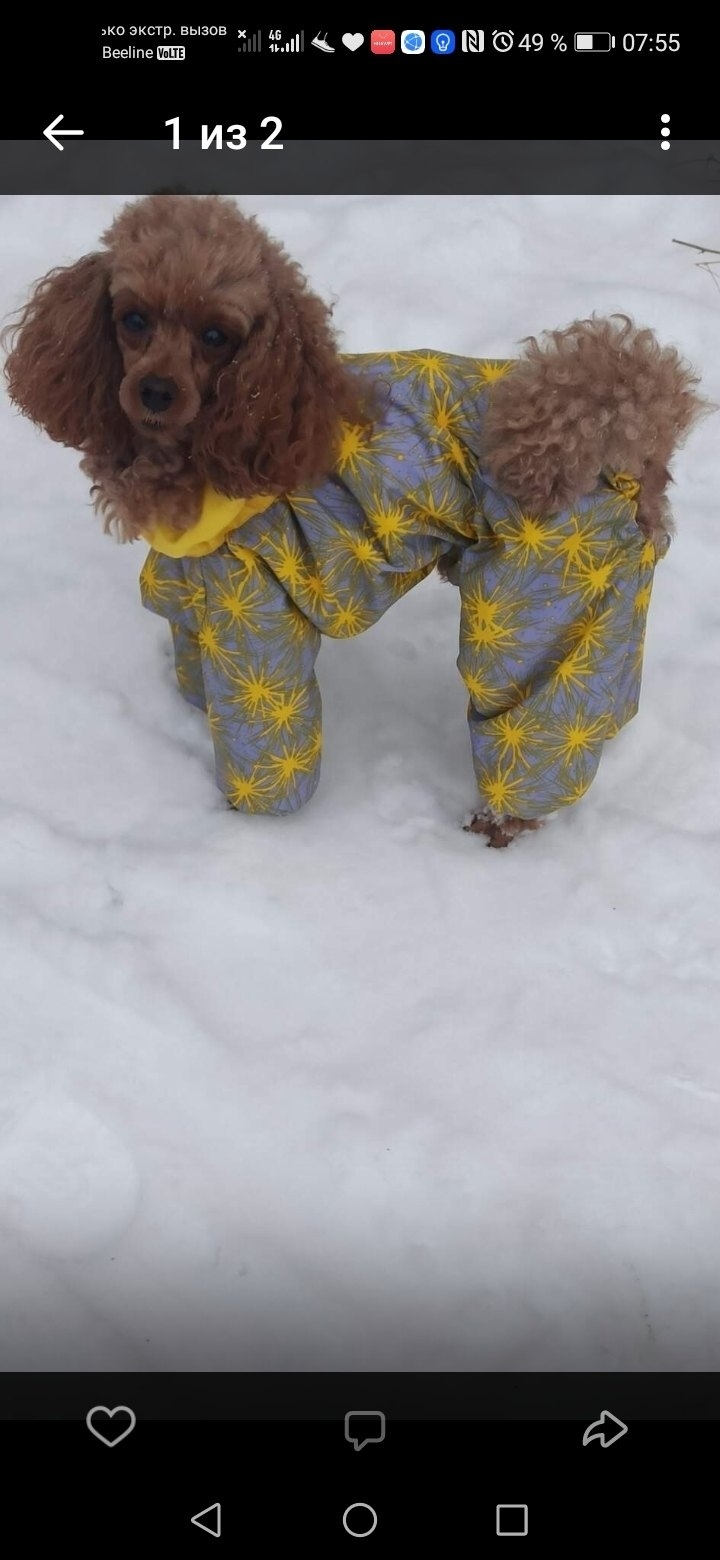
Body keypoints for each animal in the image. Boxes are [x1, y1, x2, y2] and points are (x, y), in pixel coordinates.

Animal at [3, 195, 705, 844]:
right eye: (133, 319)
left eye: (216, 336)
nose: (154, 392)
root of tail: (624, 446)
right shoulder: (192, 591)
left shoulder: (254, 620)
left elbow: (265, 746)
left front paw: (243, 826)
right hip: (601, 610)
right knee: (603, 702)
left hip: (539, 603)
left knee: (530, 723)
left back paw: (499, 825)